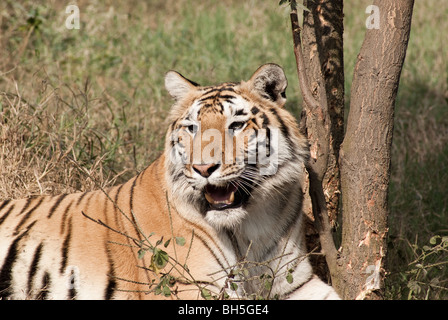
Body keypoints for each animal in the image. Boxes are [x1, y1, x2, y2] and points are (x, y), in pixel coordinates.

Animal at [0, 63, 338, 300]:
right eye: (191, 128)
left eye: (236, 125)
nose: (203, 168)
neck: (251, 223)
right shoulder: (196, 286)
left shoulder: (295, 282)